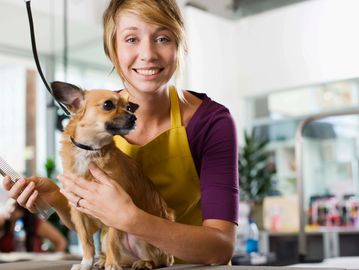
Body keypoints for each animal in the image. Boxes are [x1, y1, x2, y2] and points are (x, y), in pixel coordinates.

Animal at [51, 81, 174, 270]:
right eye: (108, 105)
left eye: (129, 107)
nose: (133, 117)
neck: (89, 150)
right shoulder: (78, 212)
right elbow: (86, 242)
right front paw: (86, 264)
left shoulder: (115, 211)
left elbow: (112, 242)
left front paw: (112, 265)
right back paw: (104, 261)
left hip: (141, 238)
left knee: (155, 259)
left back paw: (141, 262)